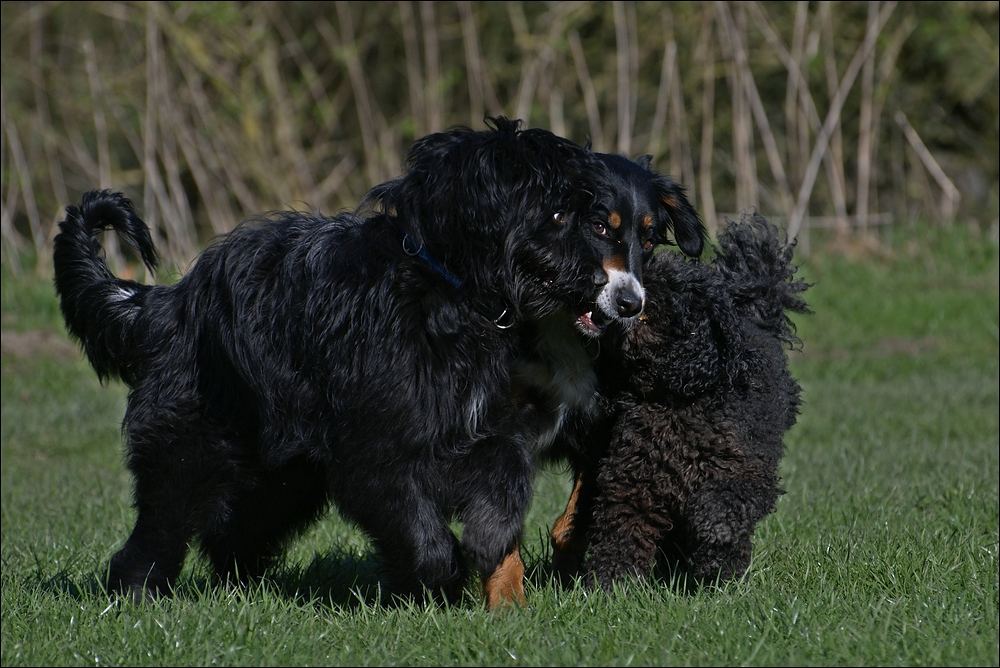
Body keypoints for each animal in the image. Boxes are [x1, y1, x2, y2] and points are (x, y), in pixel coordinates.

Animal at [54, 117, 684, 608]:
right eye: (560, 216)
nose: (617, 292)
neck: (441, 288)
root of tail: (163, 304)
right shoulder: (380, 446)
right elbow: (416, 526)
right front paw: (443, 577)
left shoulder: (482, 429)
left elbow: (503, 484)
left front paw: (490, 553)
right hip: (188, 446)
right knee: (161, 526)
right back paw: (134, 595)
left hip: (285, 476)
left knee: (236, 531)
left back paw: (243, 588)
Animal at [548, 213, 812, 588]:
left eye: (679, 288)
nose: (627, 299)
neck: (675, 394)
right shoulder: (633, 480)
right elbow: (622, 534)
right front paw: (612, 586)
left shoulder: (745, 470)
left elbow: (723, 508)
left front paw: (714, 548)